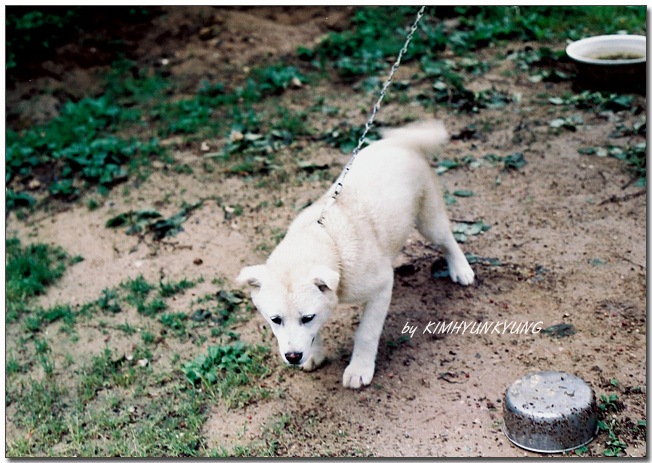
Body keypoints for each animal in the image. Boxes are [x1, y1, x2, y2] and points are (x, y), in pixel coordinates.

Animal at [237, 119, 472, 388]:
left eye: (307, 317)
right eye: (275, 319)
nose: (293, 356)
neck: (330, 240)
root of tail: (399, 142)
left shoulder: (381, 288)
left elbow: (366, 333)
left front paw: (359, 369)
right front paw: (314, 355)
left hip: (428, 220)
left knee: (448, 239)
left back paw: (461, 269)